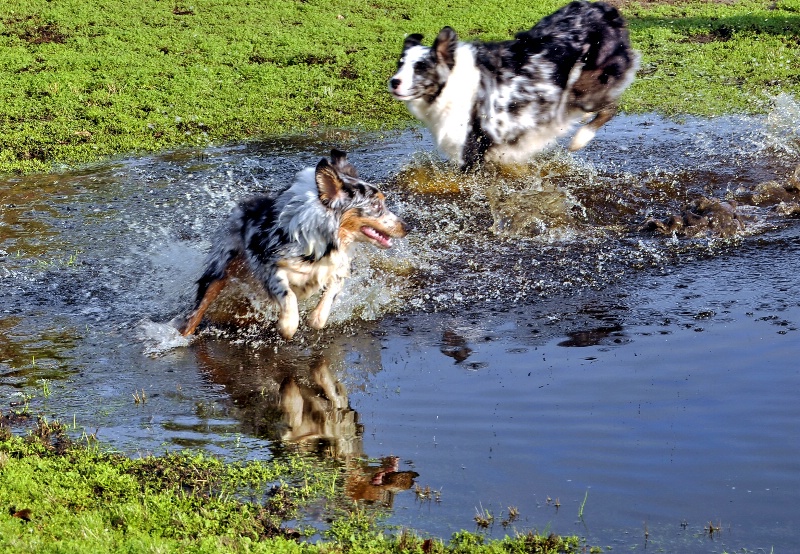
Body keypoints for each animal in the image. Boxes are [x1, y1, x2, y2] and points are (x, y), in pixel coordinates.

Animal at [180, 149, 406, 338]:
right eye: (376, 204)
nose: (407, 226)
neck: (325, 241)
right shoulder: (269, 265)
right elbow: (287, 296)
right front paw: (287, 325)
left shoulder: (338, 270)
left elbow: (328, 298)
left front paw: (315, 318)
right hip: (220, 269)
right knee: (198, 309)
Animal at [388, 0, 636, 168]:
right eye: (400, 64)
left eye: (421, 66)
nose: (394, 82)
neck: (449, 83)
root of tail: (606, 10)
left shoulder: (471, 152)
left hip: (587, 87)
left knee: (609, 108)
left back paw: (580, 138)